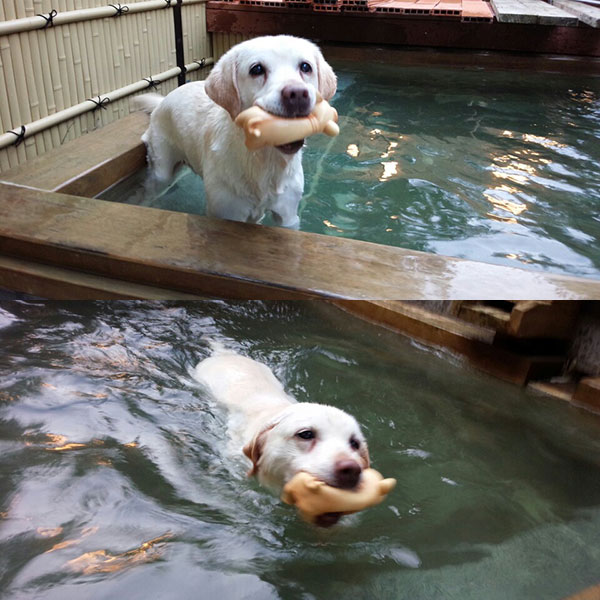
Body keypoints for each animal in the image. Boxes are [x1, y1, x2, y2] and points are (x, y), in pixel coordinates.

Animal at [132, 35, 338, 227]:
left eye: (305, 67)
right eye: (257, 69)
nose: (297, 94)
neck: (264, 160)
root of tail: (162, 101)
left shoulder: (287, 215)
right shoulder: (225, 212)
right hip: (161, 171)